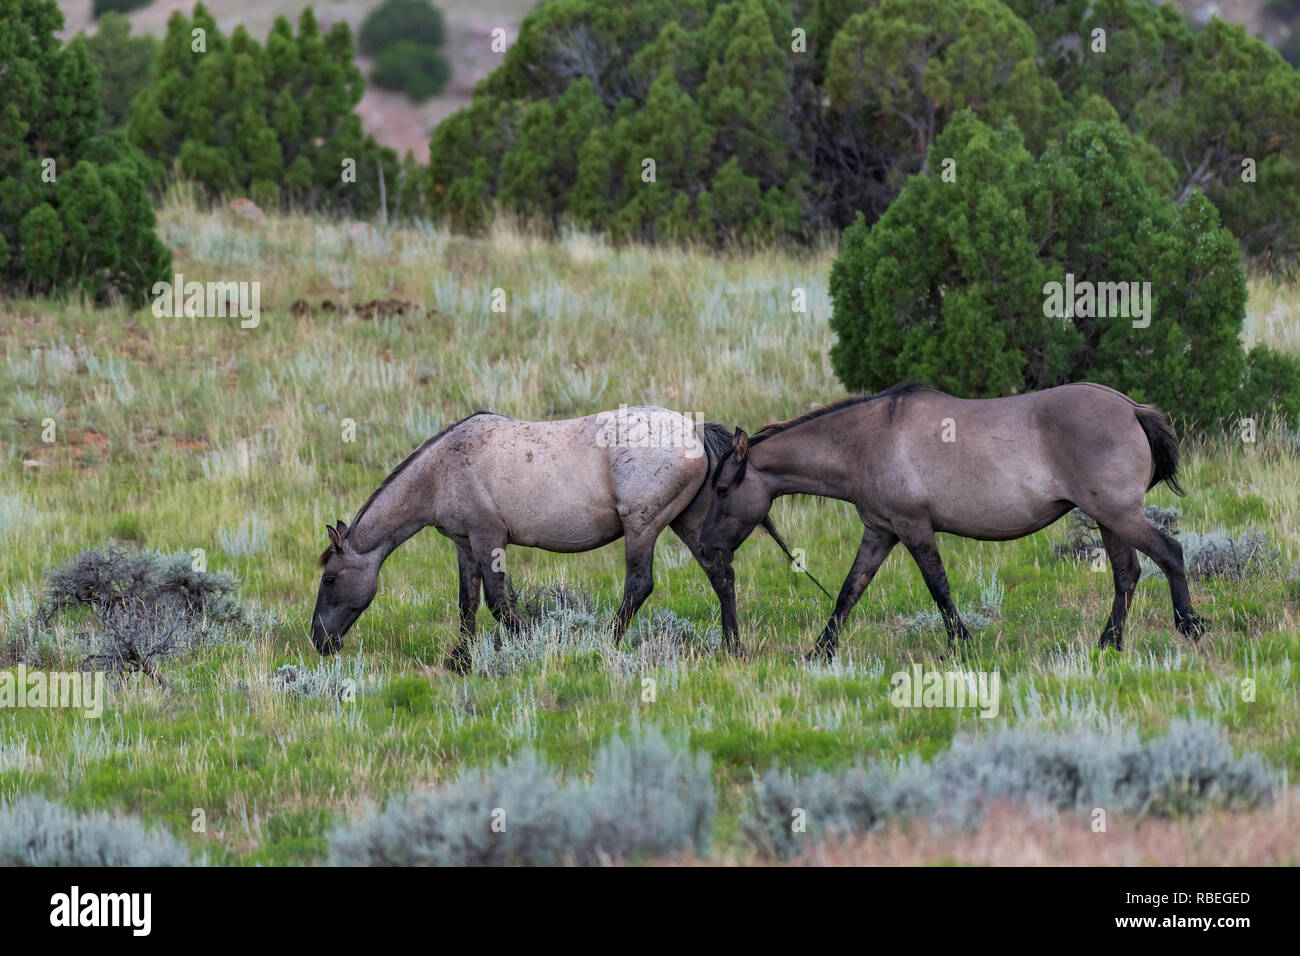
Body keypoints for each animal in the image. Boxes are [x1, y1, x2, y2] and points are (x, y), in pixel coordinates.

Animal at [312, 406, 762, 671]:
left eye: (329, 578)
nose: (319, 640)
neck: (442, 469)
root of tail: (694, 428)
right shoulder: (464, 543)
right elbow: (467, 602)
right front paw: (459, 661)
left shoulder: (488, 539)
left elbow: (497, 602)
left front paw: (528, 645)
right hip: (689, 523)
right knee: (721, 576)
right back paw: (732, 648)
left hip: (643, 527)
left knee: (639, 585)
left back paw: (605, 645)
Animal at [699, 382, 1206, 659]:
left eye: (721, 489)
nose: (703, 546)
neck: (867, 441)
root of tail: (1131, 408)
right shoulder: (880, 531)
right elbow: (849, 591)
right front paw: (820, 651)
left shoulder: (913, 528)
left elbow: (938, 587)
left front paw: (960, 643)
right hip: (1109, 519)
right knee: (1127, 574)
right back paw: (1109, 644)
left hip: (1118, 514)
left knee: (1169, 553)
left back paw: (1190, 627)